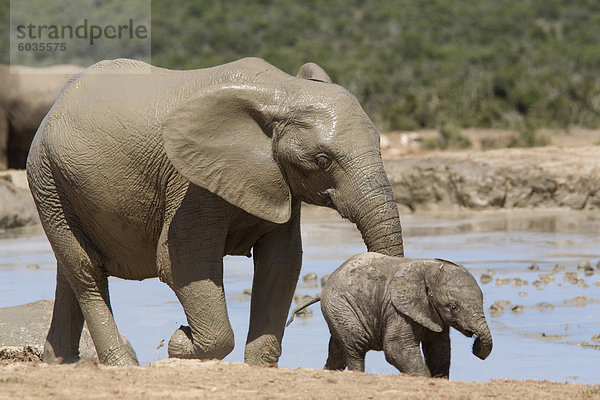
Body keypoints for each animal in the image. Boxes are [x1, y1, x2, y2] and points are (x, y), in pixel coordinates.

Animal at [27, 56, 404, 366]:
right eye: (323, 160)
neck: (281, 91)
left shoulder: (279, 181)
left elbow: (281, 262)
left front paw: (257, 367)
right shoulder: (189, 183)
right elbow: (182, 261)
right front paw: (180, 342)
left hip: (58, 185)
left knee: (70, 272)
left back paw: (60, 362)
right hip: (47, 180)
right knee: (86, 271)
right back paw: (121, 364)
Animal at [288, 253, 492, 378]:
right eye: (453, 307)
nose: (475, 345)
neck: (429, 270)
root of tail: (323, 289)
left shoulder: (434, 315)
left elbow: (439, 349)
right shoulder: (396, 310)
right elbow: (396, 348)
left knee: (337, 352)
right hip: (341, 306)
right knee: (355, 347)